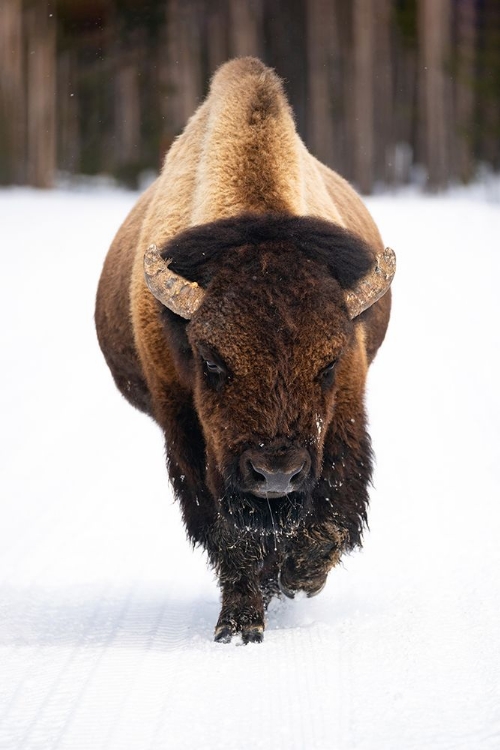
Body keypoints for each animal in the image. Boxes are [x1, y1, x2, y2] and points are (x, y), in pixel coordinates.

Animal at [95, 58, 396, 648]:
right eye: (211, 361)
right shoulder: (186, 428)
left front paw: (299, 577)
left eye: (328, 363)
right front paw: (239, 626)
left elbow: (330, 515)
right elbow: (227, 532)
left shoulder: (345, 409)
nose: (276, 472)